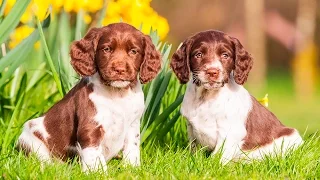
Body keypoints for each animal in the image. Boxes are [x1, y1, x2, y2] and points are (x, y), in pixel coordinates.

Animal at [16, 22, 161, 172]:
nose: (119, 69)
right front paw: (97, 172)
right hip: (31, 139)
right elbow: (94, 153)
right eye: (107, 49)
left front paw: (132, 169)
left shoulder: (133, 124)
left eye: (133, 51)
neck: (117, 93)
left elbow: (132, 148)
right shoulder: (91, 126)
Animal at [170, 30, 302, 163]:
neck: (207, 97)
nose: (212, 72)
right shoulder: (191, 129)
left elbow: (217, 157)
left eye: (225, 55)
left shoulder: (230, 132)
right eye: (198, 54)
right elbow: (194, 150)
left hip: (291, 137)